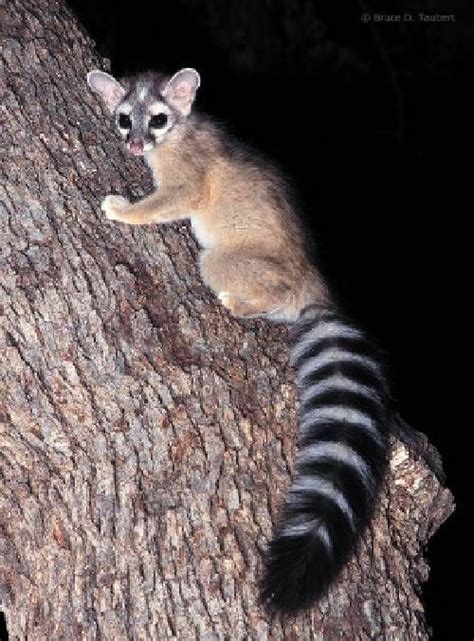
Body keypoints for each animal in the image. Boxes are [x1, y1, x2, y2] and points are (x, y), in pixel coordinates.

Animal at [87, 68, 390, 613]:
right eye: (124, 118)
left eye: (156, 120)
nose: (135, 145)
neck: (181, 129)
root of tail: (314, 286)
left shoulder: (186, 173)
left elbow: (174, 197)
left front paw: (127, 211)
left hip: (230, 260)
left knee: (240, 276)